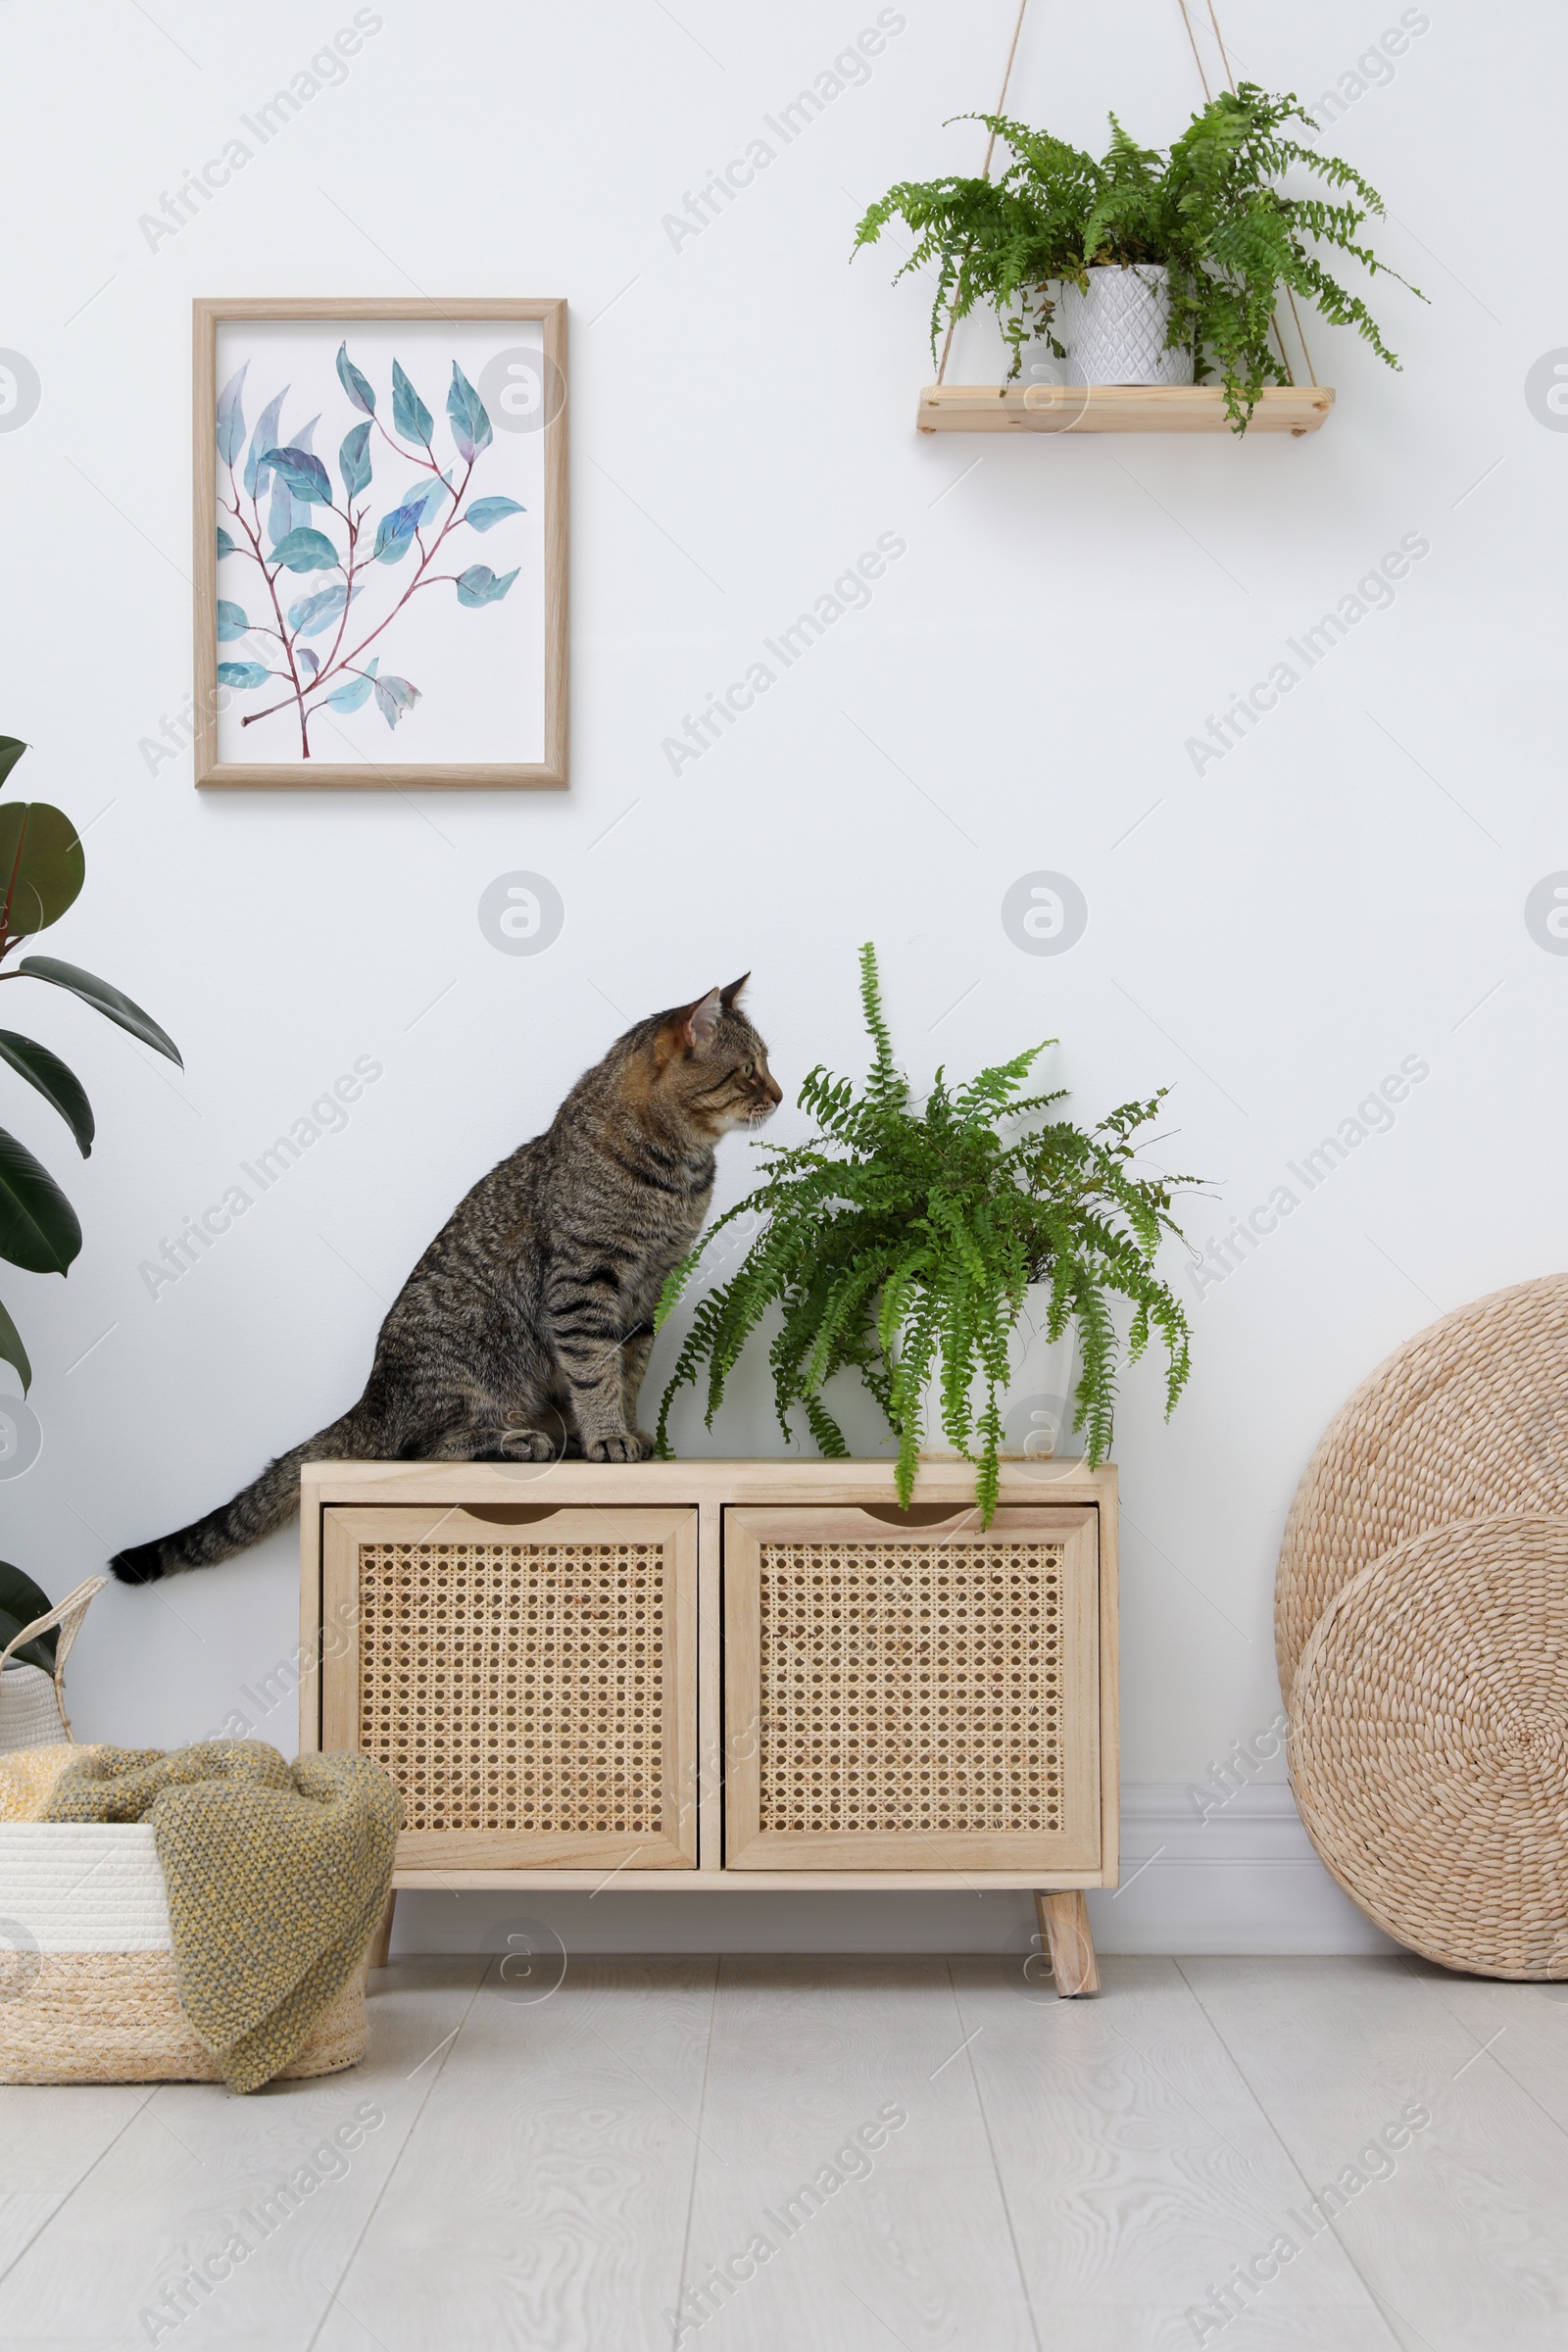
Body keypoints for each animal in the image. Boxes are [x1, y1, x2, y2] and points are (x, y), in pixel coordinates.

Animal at [107, 973, 780, 1580]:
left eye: (766, 1064)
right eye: (749, 1069)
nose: (777, 1094)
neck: (679, 1173)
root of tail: (369, 1399)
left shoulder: (648, 1291)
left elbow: (629, 1369)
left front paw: (629, 1431)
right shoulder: (585, 1284)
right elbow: (595, 1371)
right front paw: (608, 1435)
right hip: (477, 1356)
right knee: (423, 1449)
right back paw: (520, 1442)